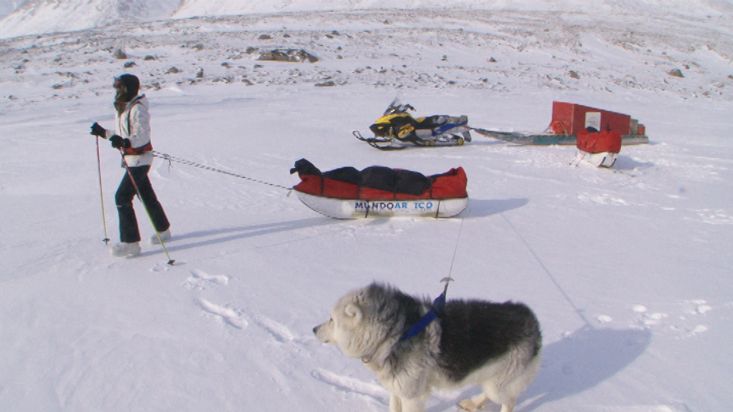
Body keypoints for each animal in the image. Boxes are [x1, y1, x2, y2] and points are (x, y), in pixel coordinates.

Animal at [312, 284, 540, 412]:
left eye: (331, 319)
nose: (313, 329)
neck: (393, 335)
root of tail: (530, 318)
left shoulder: (412, 397)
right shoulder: (397, 390)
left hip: (499, 384)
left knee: (508, 401)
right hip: (491, 379)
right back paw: (473, 404)